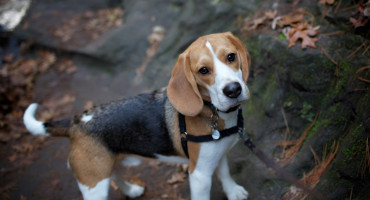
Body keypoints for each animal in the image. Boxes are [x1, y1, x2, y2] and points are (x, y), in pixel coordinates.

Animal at [23, 32, 251, 199]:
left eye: (231, 57)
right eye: (203, 70)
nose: (233, 90)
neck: (213, 111)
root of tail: (76, 122)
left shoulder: (218, 155)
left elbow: (225, 173)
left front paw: (233, 192)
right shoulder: (199, 174)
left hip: (108, 164)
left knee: (115, 174)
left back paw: (131, 190)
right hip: (93, 184)